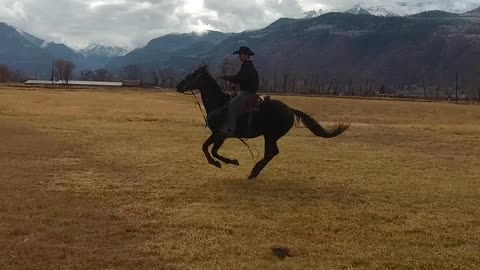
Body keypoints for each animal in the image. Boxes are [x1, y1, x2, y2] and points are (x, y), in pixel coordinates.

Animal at [176, 65, 348, 179]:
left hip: (270, 135)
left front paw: (229, 161)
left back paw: (254, 172)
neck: (219, 104)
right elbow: (205, 147)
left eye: (193, 74)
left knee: (272, 152)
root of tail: (289, 109)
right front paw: (218, 163)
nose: (178, 86)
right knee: (271, 152)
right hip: (269, 136)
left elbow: (212, 150)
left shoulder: (221, 135)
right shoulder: (217, 134)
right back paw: (255, 171)